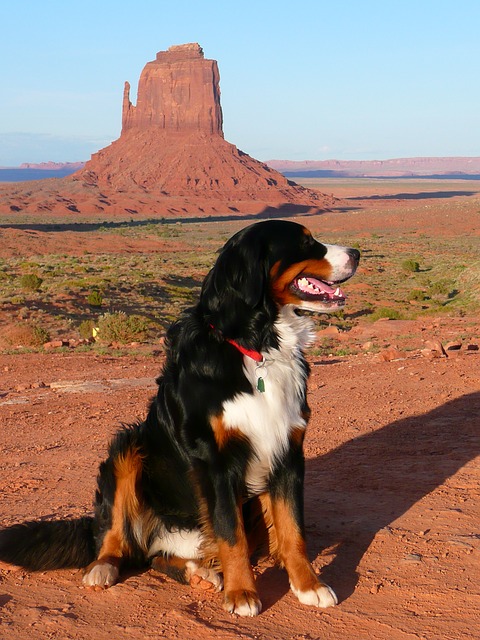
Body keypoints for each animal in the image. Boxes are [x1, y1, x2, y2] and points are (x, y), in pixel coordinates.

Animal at [0, 220, 358, 616]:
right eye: (306, 242)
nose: (357, 254)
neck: (257, 346)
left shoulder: (288, 451)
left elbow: (293, 531)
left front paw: (309, 586)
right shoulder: (215, 460)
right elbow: (231, 534)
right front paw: (242, 594)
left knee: (160, 557)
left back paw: (199, 572)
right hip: (127, 447)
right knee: (118, 538)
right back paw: (105, 568)